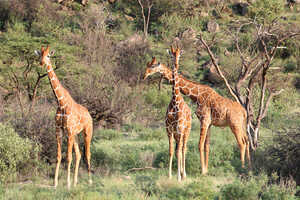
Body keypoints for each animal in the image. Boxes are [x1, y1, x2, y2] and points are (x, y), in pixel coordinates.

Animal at [34, 46, 92, 188]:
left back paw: (89, 181)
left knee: (87, 154)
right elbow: (59, 156)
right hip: (75, 135)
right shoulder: (59, 130)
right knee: (79, 154)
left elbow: (68, 157)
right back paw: (76, 182)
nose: (42, 63)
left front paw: (67, 184)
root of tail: (89, 114)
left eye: (48, 55)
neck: (60, 102)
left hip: (87, 132)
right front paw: (55, 183)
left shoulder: (69, 131)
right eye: (40, 55)